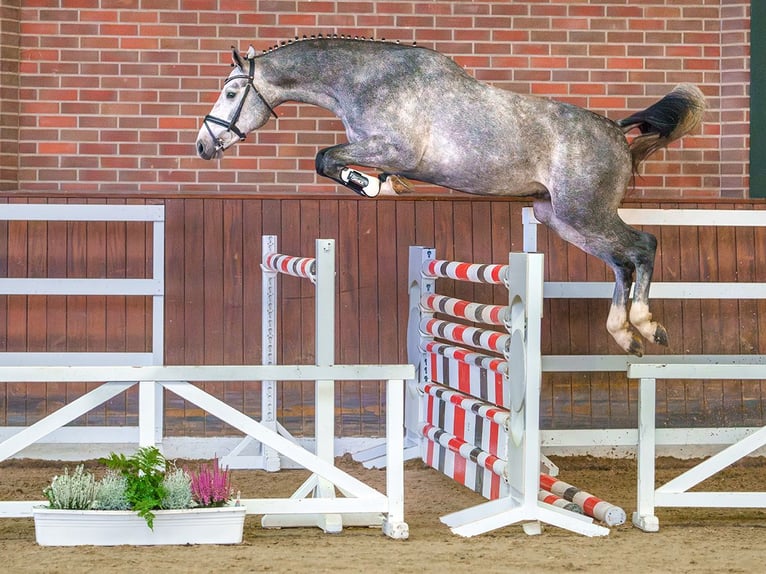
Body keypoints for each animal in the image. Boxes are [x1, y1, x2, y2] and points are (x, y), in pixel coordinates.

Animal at [196, 38, 708, 356]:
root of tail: (617, 132)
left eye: (231, 93)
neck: (365, 80)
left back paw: (647, 326)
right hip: (561, 219)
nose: (203, 145)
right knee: (622, 263)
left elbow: (324, 158)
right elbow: (327, 160)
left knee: (643, 247)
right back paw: (625, 336)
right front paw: (378, 184)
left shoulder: (394, 149)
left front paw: (373, 185)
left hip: (586, 213)